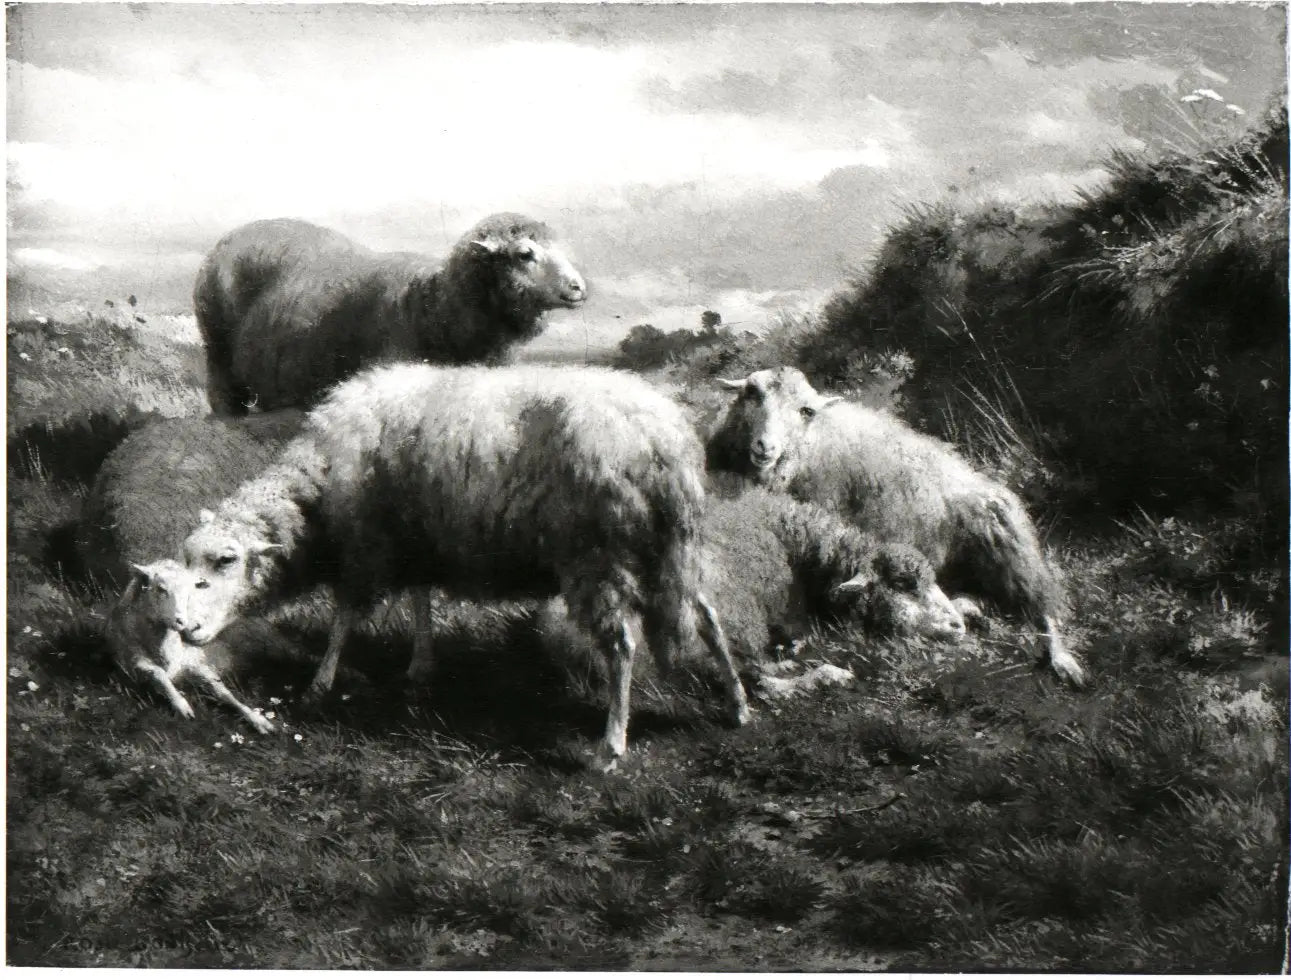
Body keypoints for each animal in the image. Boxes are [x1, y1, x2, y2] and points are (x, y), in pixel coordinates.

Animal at [105, 560, 274, 734]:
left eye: (189, 592)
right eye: (161, 589)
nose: (182, 621)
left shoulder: (195, 663)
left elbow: (223, 692)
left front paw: (257, 720)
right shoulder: (132, 660)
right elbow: (158, 674)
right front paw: (181, 705)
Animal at [173, 362, 751, 769]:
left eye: (226, 561)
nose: (184, 628)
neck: (317, 490)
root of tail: (666, 441)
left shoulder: (367, 545)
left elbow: (344, 618)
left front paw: (319, 684)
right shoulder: (416, 540)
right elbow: (420, 601)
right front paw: (420, 667)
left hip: (599, 555)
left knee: (622, 645)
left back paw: (610, 747)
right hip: (670, 553)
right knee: (708, 618)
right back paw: (738, 707)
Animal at [707, 366, 1087, 686]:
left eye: (806, 411)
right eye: (751, 395)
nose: (765, 446)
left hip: (1008, 543)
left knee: (1042, 607)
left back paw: (1064, 661)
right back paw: (969, 609)